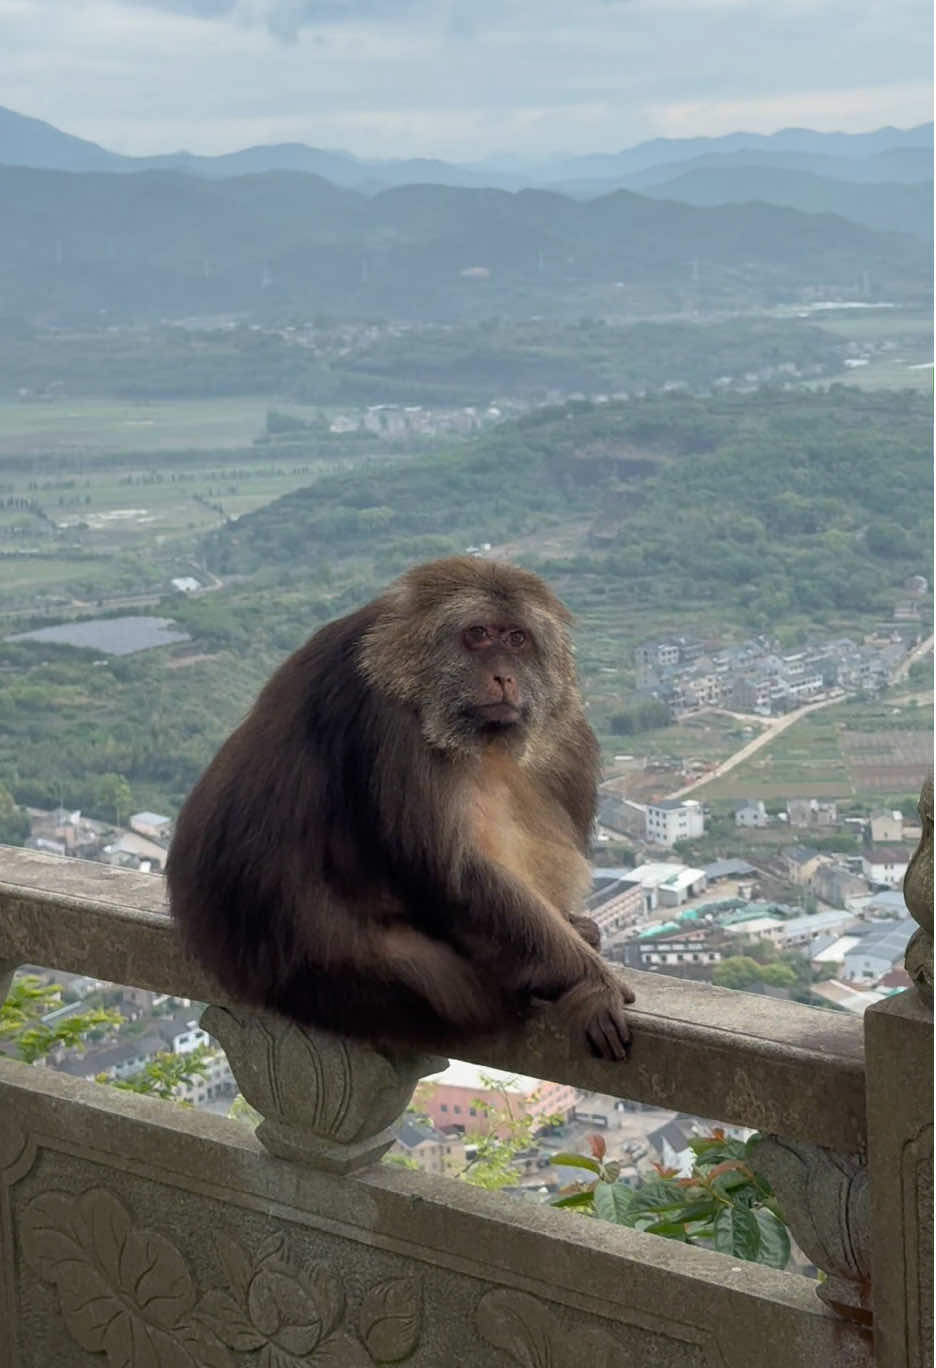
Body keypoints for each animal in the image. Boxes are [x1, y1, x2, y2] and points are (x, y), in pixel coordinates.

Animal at [166, 556, 634, 1060]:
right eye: (477, 634)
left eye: (516, 639)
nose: (504, 676)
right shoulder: (393, 723)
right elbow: (453, 874)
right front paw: (591, 981)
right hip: (357, 977)